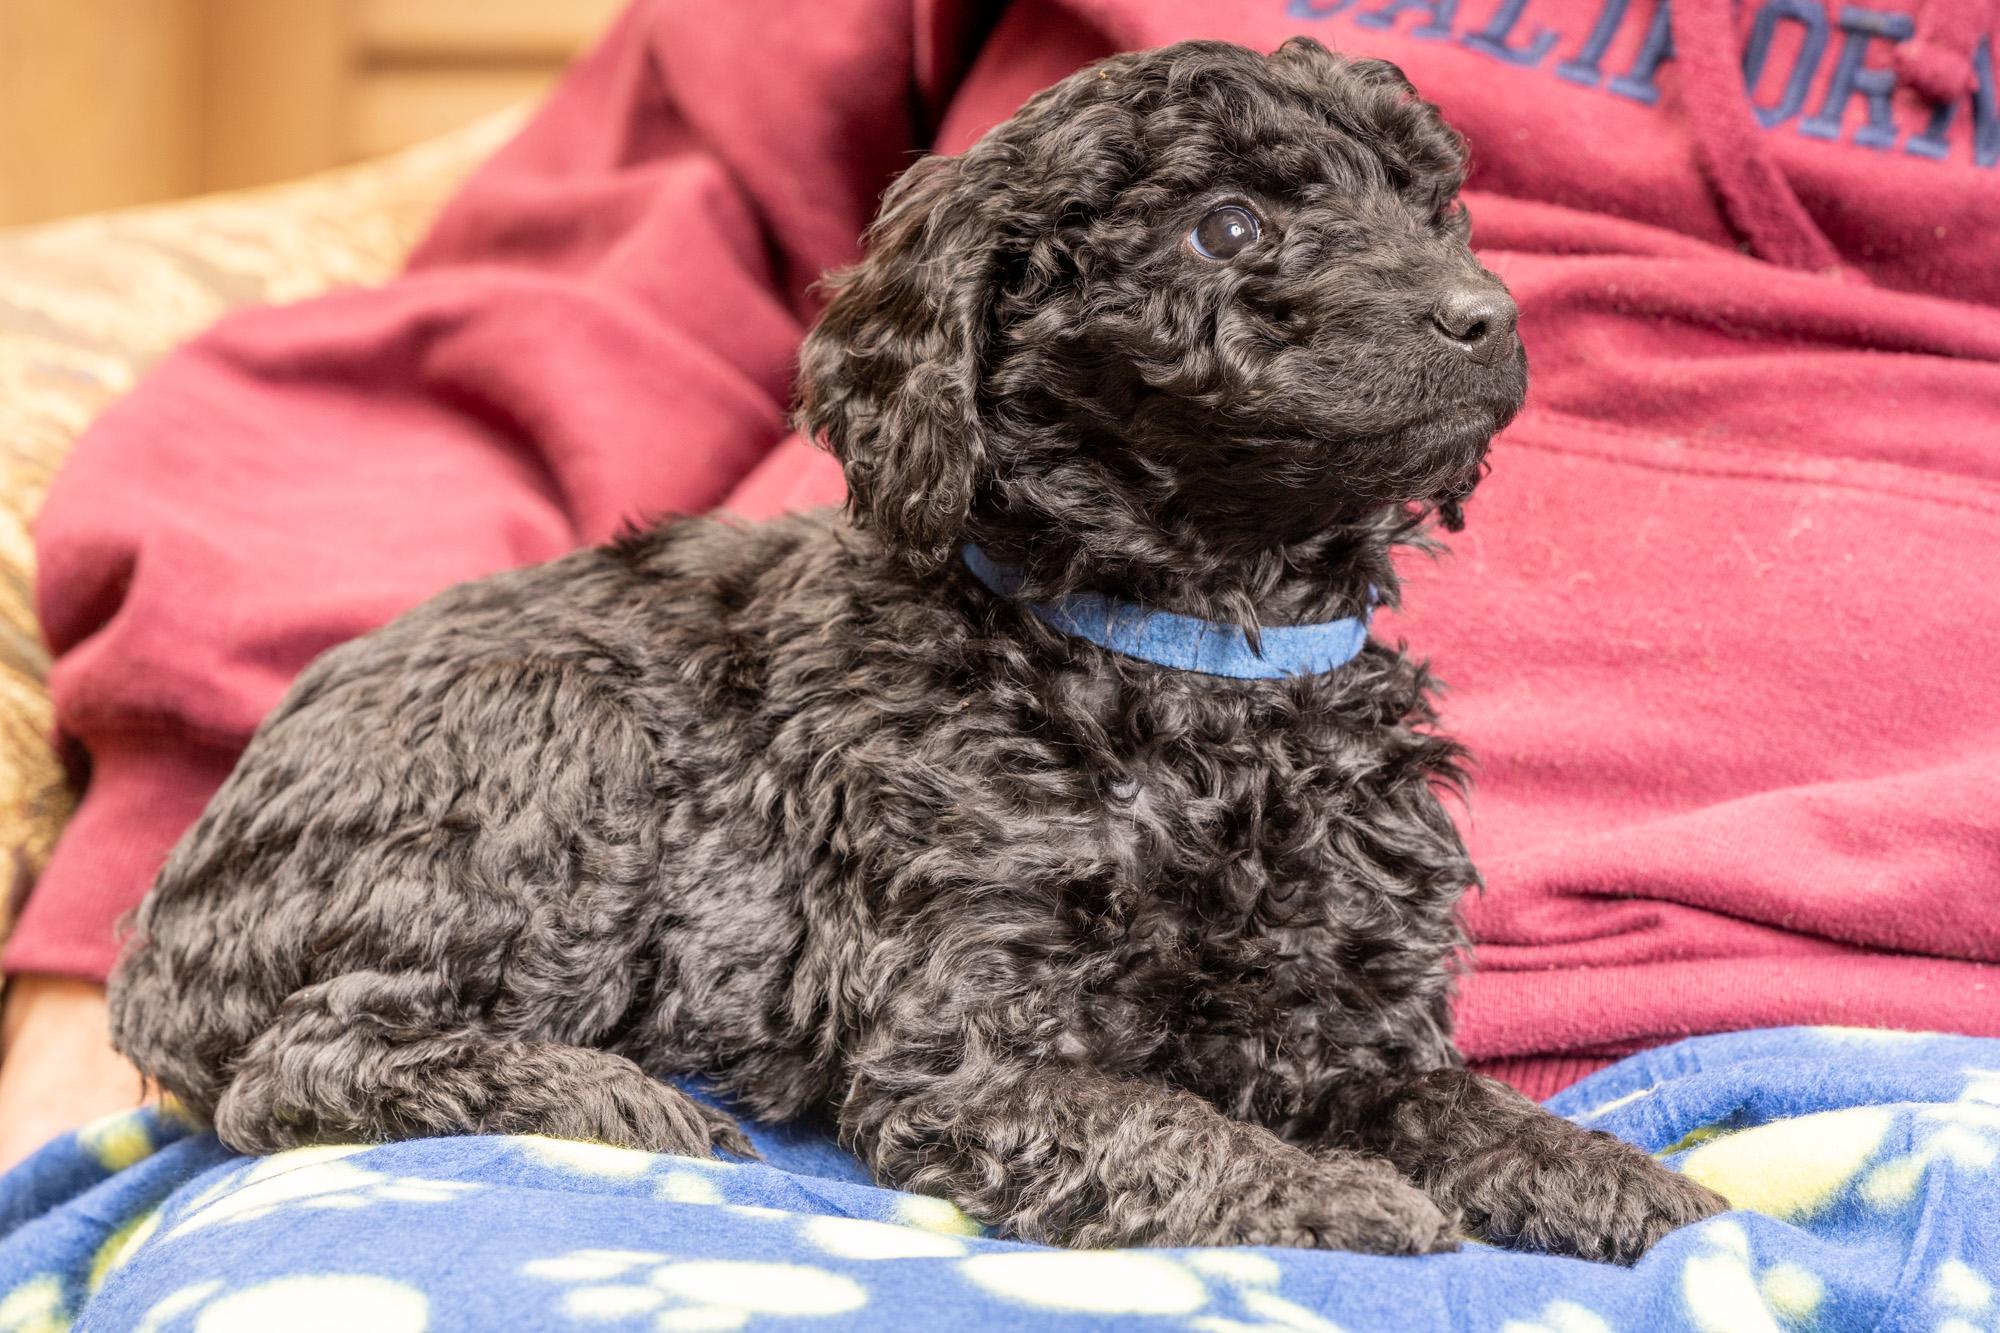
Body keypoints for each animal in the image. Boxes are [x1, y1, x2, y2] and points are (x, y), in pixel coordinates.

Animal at [109, 37, 1726, 1261]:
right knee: (301, 1067)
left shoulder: (1346, 1017)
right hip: (557, 755)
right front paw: (1334, 1198)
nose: (1488, 316)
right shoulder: (969, 1050)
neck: (1196, 662)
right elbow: (1169, 1127)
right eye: (1226, 228)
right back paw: (622, 1103)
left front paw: (1628, 1184)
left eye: (1438, 211)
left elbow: (1459, 1106)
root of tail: (162, 941)